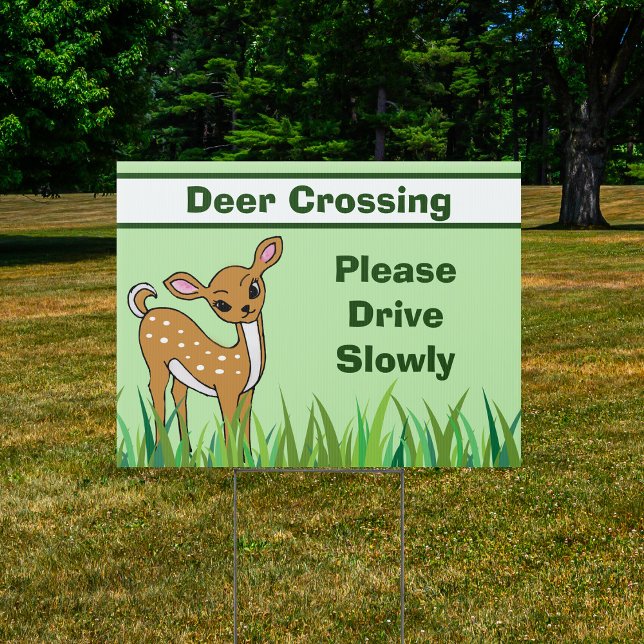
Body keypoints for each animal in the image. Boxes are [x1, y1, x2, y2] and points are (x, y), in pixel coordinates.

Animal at [127, 236, 283, 448]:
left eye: (253, 289)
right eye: (222, 305)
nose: (245, 308)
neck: (242, 359)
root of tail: (147, 312)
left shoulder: (248, 390)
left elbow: (246, 427)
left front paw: (249, 454)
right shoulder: (226, 388)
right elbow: (230, 426)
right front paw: (230, 453)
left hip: (179, 372)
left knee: (178, 392)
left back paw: (187, 449)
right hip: (154, 359)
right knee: (156, 388)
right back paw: (159, 448)